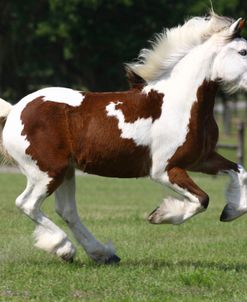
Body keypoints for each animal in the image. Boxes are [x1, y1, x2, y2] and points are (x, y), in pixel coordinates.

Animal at [0, 13, 247, 264]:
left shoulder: (202, 159)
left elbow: (239, 171)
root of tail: (14, 110)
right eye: (243, 52)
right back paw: (65, 248)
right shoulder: (164, 170)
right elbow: (202, 199)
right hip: (47, 172)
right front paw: (160, 215)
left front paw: (230, 211)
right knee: (27, 204)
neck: (181, 104)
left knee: (67, 211)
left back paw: (102, 254)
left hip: (65, 171)